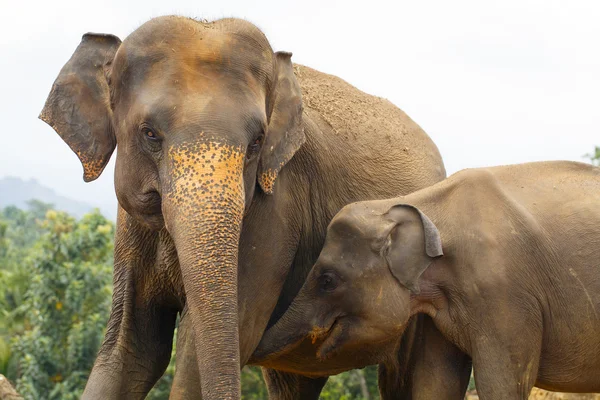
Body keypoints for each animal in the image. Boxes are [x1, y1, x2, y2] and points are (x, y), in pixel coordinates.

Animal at [39, 15, 452, 400]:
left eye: (256, 141)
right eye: (150, 134)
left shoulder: (276, 210)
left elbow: (210, 346)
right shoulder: (131, 231)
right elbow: (132, 349)